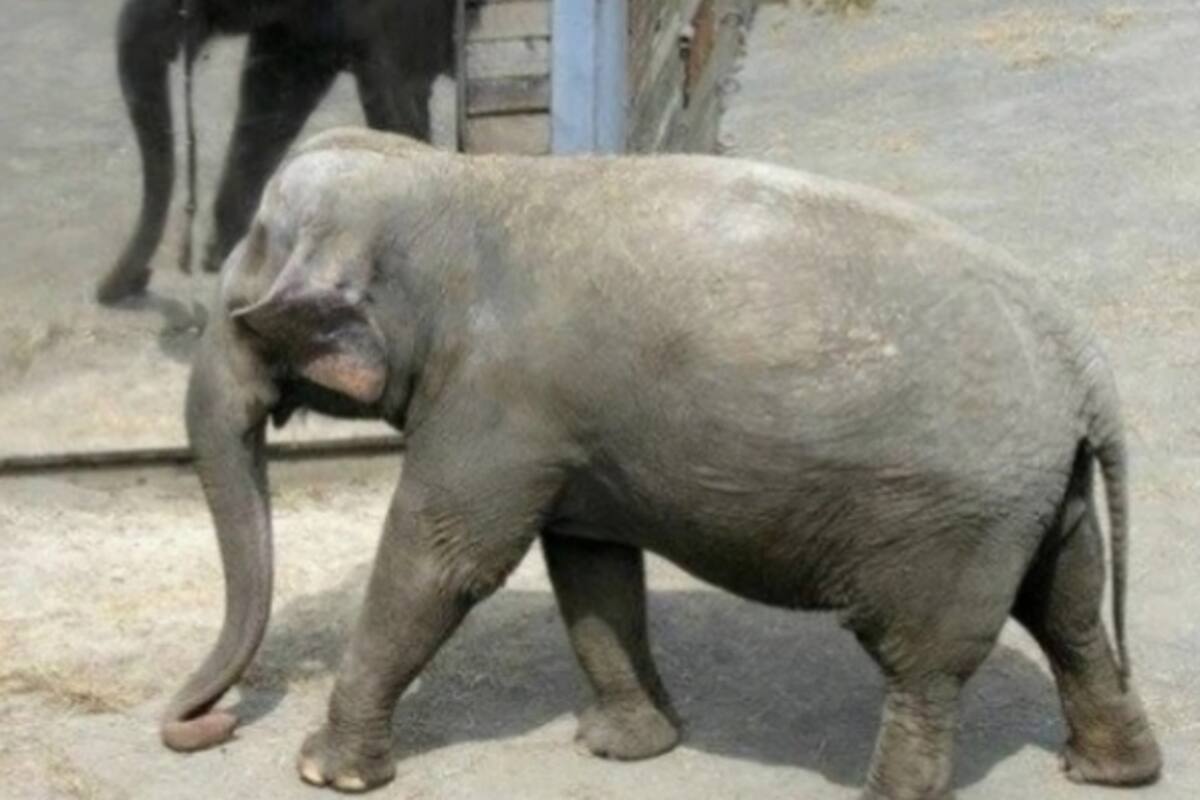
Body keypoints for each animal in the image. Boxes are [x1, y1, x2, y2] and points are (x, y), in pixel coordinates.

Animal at [161, 127, 1162, 799]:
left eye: (242, 305)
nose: (206, 721)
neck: (462, 179)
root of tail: (1087, 367)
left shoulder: (496, 402)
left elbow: (443, 559)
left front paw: (323, 772)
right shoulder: (565, 428)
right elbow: (590, 564)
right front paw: (623, 749)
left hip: (955, 520)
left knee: (925, 662)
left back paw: (892, 789)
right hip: (1041, 497)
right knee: (1071, 614)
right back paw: (1111, 771)